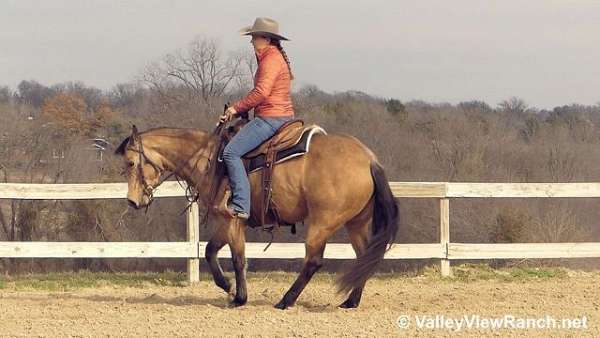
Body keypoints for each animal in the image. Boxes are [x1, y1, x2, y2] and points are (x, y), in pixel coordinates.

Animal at [116, 116, 398, 308]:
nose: (132, 201)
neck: (210, 160)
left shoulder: (232, 220)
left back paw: (286, 300)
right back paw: (351, 301)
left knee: (314, 261)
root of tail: (369, 159)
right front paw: (227, 286)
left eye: (130, 163)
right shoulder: (226, 222)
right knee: (364, 256)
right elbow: (210, 251)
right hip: (356, 222)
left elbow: (238, 259)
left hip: (322, 222)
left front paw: (239, 297)